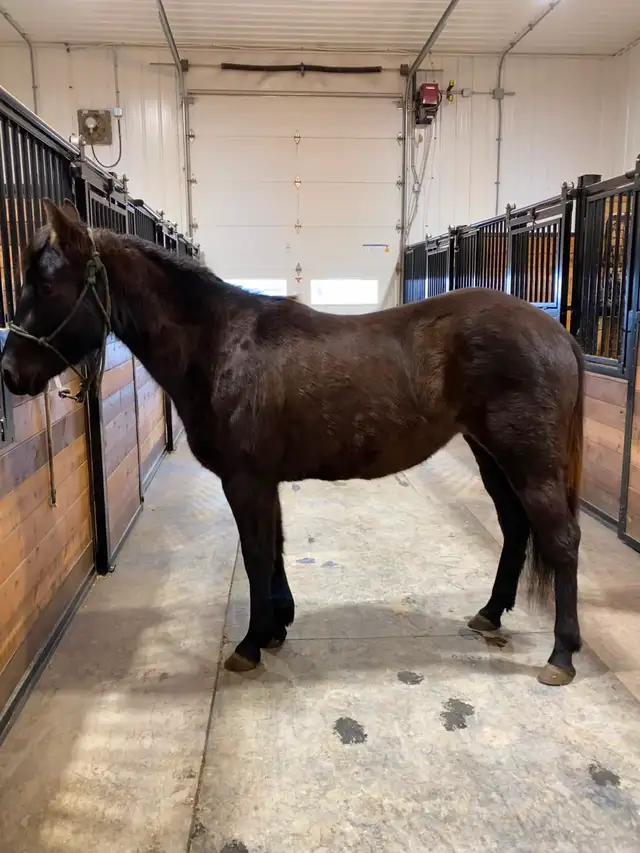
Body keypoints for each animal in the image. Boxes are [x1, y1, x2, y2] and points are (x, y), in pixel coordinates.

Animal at [1, 199, 584, 687]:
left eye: (46, 286)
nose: (9, 373)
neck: (218, 346)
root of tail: (556, 333)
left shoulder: (245, 481)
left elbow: (257, 554)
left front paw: (250, 644)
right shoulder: (265, 482)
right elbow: (275, 547)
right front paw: (277, 625)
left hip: (529, 462)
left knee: (560, 540)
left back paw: (561, 656)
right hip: (491, 456)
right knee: (515, 528)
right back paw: (490, 613)